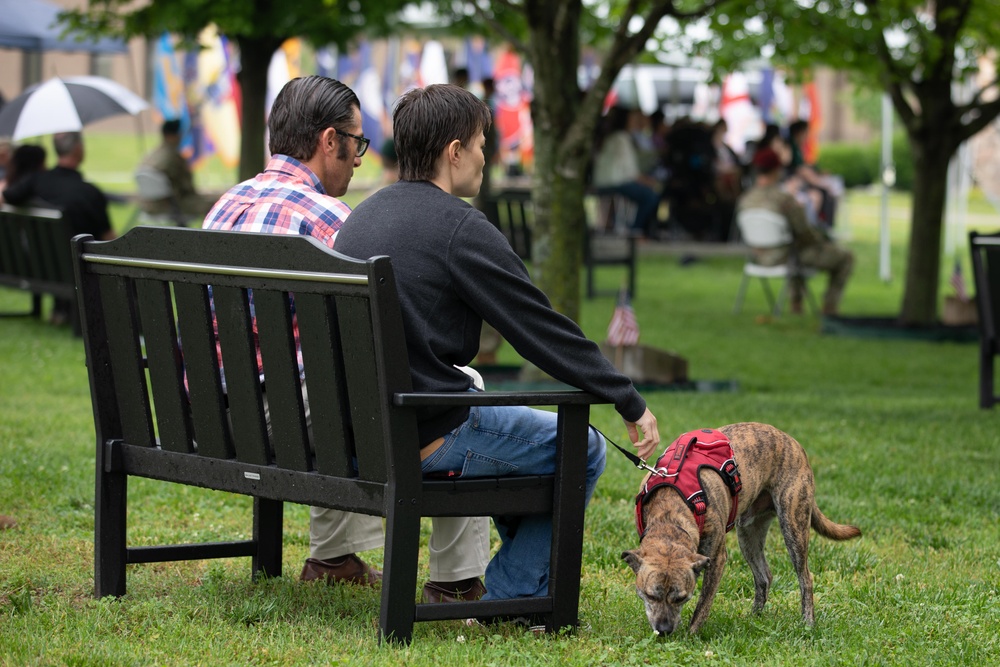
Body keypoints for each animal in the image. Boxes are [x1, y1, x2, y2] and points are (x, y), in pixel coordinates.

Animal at [616, 422, 860, 636]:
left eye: (681, 598)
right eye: (650, 596)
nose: (664, 630)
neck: (671, 512)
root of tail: (794, 443)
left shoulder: (716, 558)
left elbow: (703, 604)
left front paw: (691, 635)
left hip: (794, 523)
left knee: (805, 578)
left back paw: (808, 623)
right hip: (749, 535)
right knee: (764, 577)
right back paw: (755, 618)